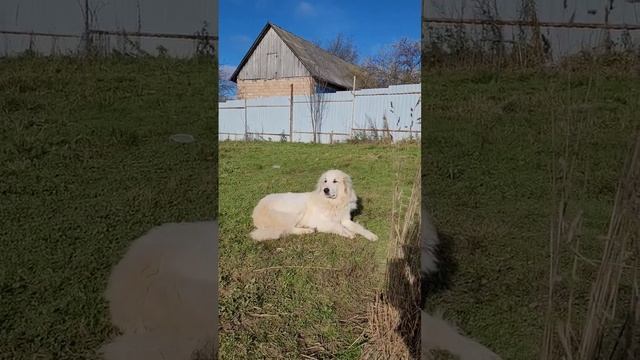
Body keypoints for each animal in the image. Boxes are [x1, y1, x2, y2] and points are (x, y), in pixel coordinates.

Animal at [250, 169, 380, 242]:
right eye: (325, 181)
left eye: (335, 181)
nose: (325, 190)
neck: (333, 203)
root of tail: (257, 209)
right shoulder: (319, 221)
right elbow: (336, 225)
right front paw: (348, 233)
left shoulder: (345, 220)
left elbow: (359, 228)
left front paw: (371, 235)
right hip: (297, 208)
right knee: (288, 228)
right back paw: (307, 230)